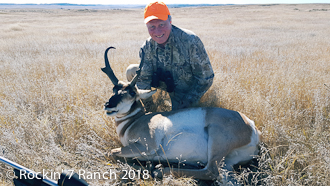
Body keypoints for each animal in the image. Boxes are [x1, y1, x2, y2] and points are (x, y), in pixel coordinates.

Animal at [102, 46, 262, 180]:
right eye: (114, 89)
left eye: (132, 92)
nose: (108, 105)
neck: (134, 121)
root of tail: (252, 126)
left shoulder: (147, 146)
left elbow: (111, 152)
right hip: (227, 163)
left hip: (217, 140)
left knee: (210, 171)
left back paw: (160, 170)